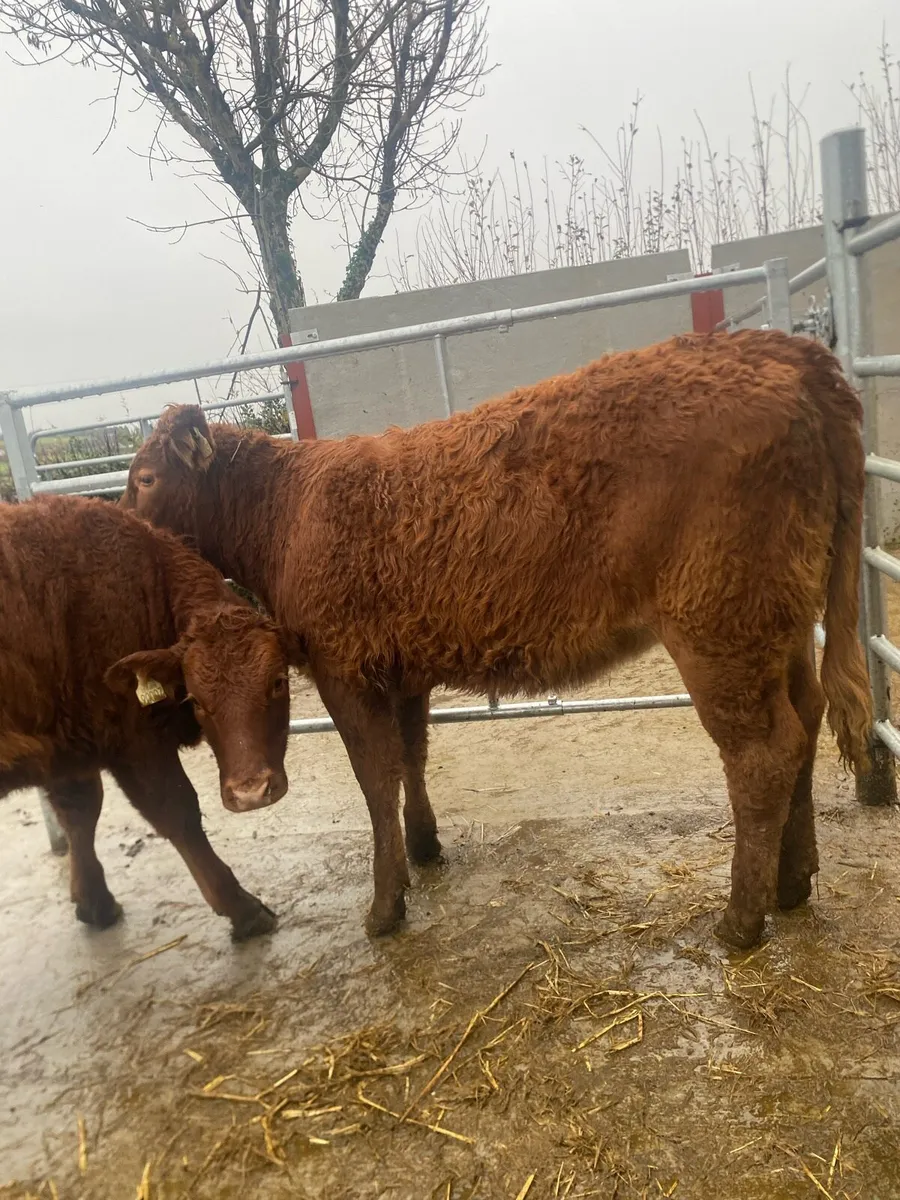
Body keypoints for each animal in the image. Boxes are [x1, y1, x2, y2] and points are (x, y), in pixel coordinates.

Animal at [0, 495, 293, 940]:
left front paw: (94, 902)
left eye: (278, 682)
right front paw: (242, 908)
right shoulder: (133, 743)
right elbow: (178, 812)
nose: (250, 793)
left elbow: (80, 812)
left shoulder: (68, 746)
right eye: (196, 699)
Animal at [122, 328, 873, 950]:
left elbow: (375, 779)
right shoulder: (400, 671)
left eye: (147, 478)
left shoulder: (343, 669)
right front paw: (425, 849)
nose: (122, 523)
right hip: (776, 621)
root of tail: (785, 350)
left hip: (718, 625)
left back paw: (741, 920)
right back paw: (792, 883)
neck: (289, 510)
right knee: (805, 721)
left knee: (762, 753)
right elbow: (411, 759)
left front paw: (385, 906)